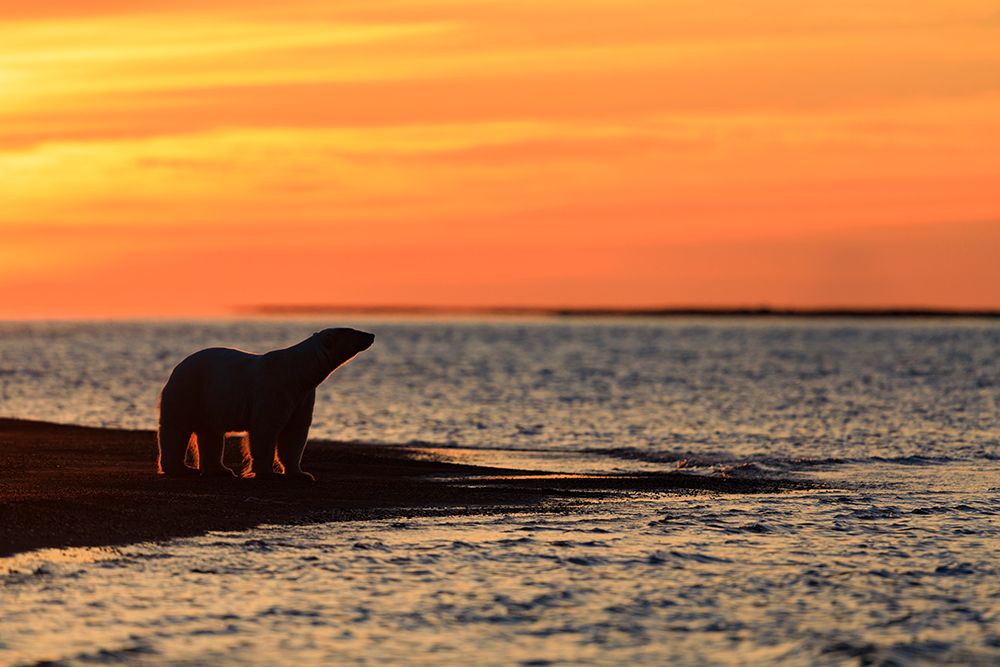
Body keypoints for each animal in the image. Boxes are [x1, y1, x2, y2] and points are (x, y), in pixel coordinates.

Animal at [156, 327, 375, 480]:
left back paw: (221, 470)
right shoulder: (274, 389)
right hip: (189, 390)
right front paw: (268, 472)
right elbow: (266, 428)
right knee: (176, 428)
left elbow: (295, 432)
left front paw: (301, 474)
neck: (297, 372)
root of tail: (176, 368)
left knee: (211, 433)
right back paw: (182, 469)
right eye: (352, 331)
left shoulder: (302, 396)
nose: (371, 334)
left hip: (207, 400)